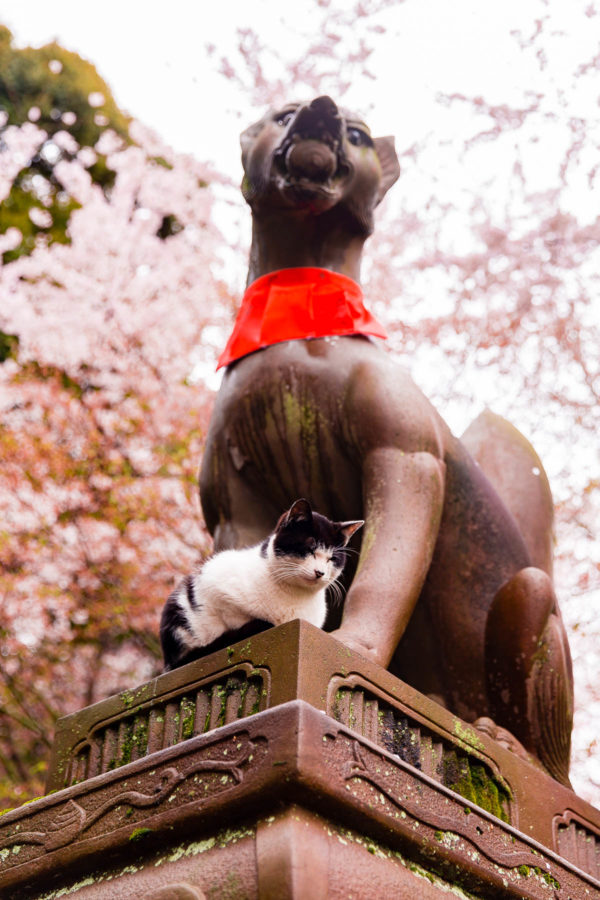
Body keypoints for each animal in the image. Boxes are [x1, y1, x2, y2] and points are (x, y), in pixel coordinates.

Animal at [159, 496, 364, 672]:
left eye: (332, 558)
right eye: (310, 548)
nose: (320, 572)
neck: (294, 595)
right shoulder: (214, 582)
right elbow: (233, 618)